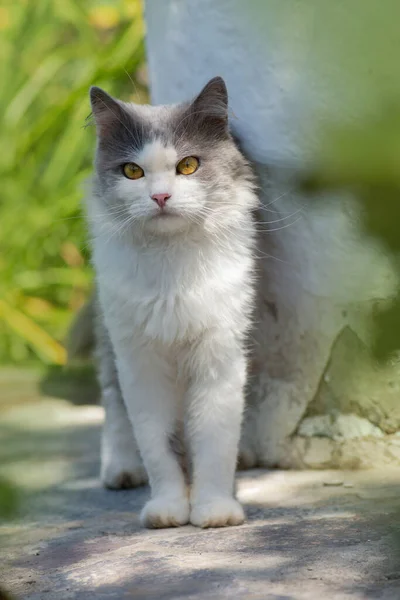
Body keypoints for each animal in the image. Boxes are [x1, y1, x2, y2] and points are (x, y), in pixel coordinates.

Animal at [86, 76, 258, 528]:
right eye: (132, 171)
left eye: (188, 166)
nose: (161, 197)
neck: (171, 271)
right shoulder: (140, 361)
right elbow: (156, 443)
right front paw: (168, 507)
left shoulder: (220, 352)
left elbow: (214, 440)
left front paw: (214, 508)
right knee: (111, 401)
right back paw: (121, 468)